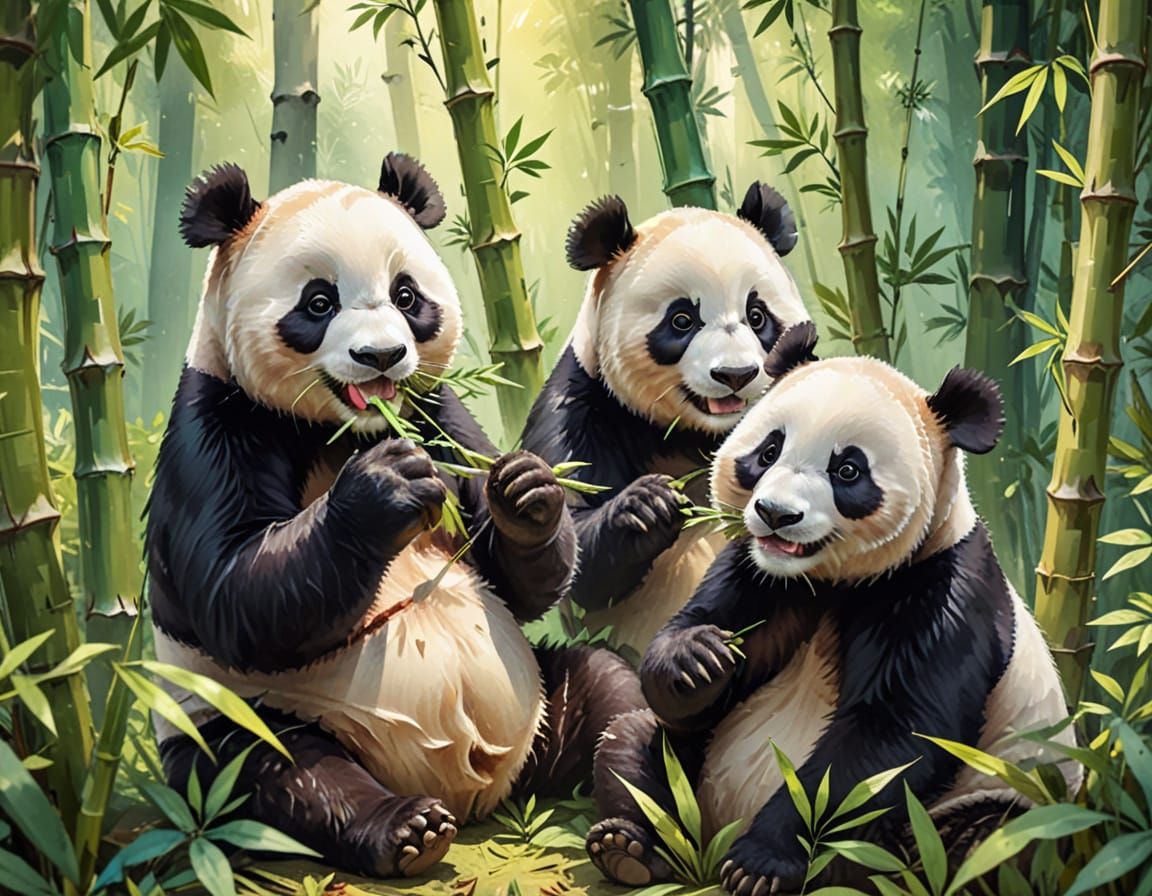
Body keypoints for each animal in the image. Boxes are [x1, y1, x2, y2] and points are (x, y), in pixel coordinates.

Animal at [145, 154, 644, 879]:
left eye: (406, 296)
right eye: (318, 303)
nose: (381, 357)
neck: (343, 428)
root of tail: (480, 795)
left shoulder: (438, 413)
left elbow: (510, 579)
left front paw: (526, 494)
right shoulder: (215, 425)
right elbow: (237, 595)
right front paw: (381, 489)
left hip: (542, 701)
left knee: (608, 692)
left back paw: (633, 829)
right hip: (239, 715)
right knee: (281, 769)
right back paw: (405, 830)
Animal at [522, 186, 809, 657]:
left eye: (757, 316)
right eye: (682, 320)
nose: (735, 375)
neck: (696, 434)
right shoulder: (582, 407)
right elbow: (575, 560)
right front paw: (648, 505)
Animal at [587, 326, 1079, 893]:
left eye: (847, 470)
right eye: (769, 450)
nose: (776, 514)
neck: (828, 579)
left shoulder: (941, 590)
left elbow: (887, 740)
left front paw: (759, 865)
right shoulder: (760, 576)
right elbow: (697, 657)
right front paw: (695, 658)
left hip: (996, 794)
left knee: (991, 843)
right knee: (637, 745)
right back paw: (629, 847)